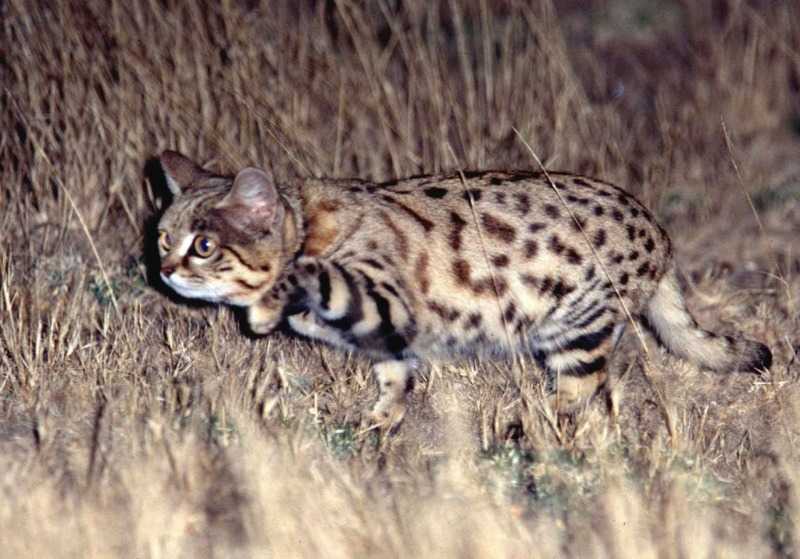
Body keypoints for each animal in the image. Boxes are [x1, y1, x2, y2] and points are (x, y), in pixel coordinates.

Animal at [153, 152, 772, 424]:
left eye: (203, 246)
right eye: (162, 237)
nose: (163, 271)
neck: (307, 225)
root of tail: (660, 234)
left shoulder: (385, 300)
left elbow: (310, 275)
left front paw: (267, 305)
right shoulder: (389, 336)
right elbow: (395, 380)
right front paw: (380, 420)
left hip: (574, 325)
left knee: (584, 388)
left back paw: (532, 427)